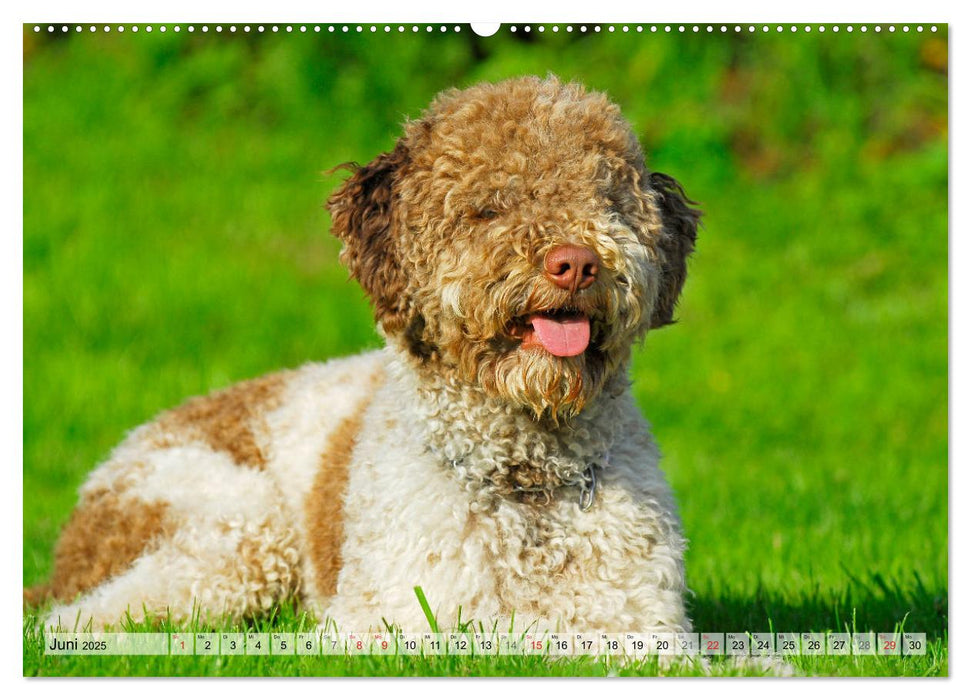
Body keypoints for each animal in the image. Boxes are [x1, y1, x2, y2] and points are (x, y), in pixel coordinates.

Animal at [30, 75, 700, 636]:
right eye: (488, 208)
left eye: (611, 204)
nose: (577, 263)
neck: (527, 484)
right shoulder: (392, 621)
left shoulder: (645, 628)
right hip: (235, 534)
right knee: (81, 619)